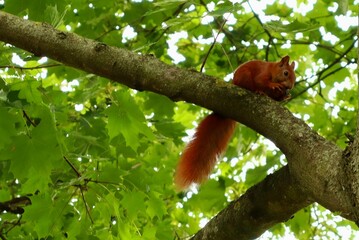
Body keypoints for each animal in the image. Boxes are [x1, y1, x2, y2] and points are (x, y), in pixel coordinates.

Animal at [176, 55, 296, 189]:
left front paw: (285, 96)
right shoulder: (263, 73)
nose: (289, 87)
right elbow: (261, 81)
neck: (272, 69)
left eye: (295, 77)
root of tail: (234, 82)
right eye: (286, 73)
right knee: (250, 86)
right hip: (245, 76)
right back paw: (258, 91)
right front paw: (273, 85)